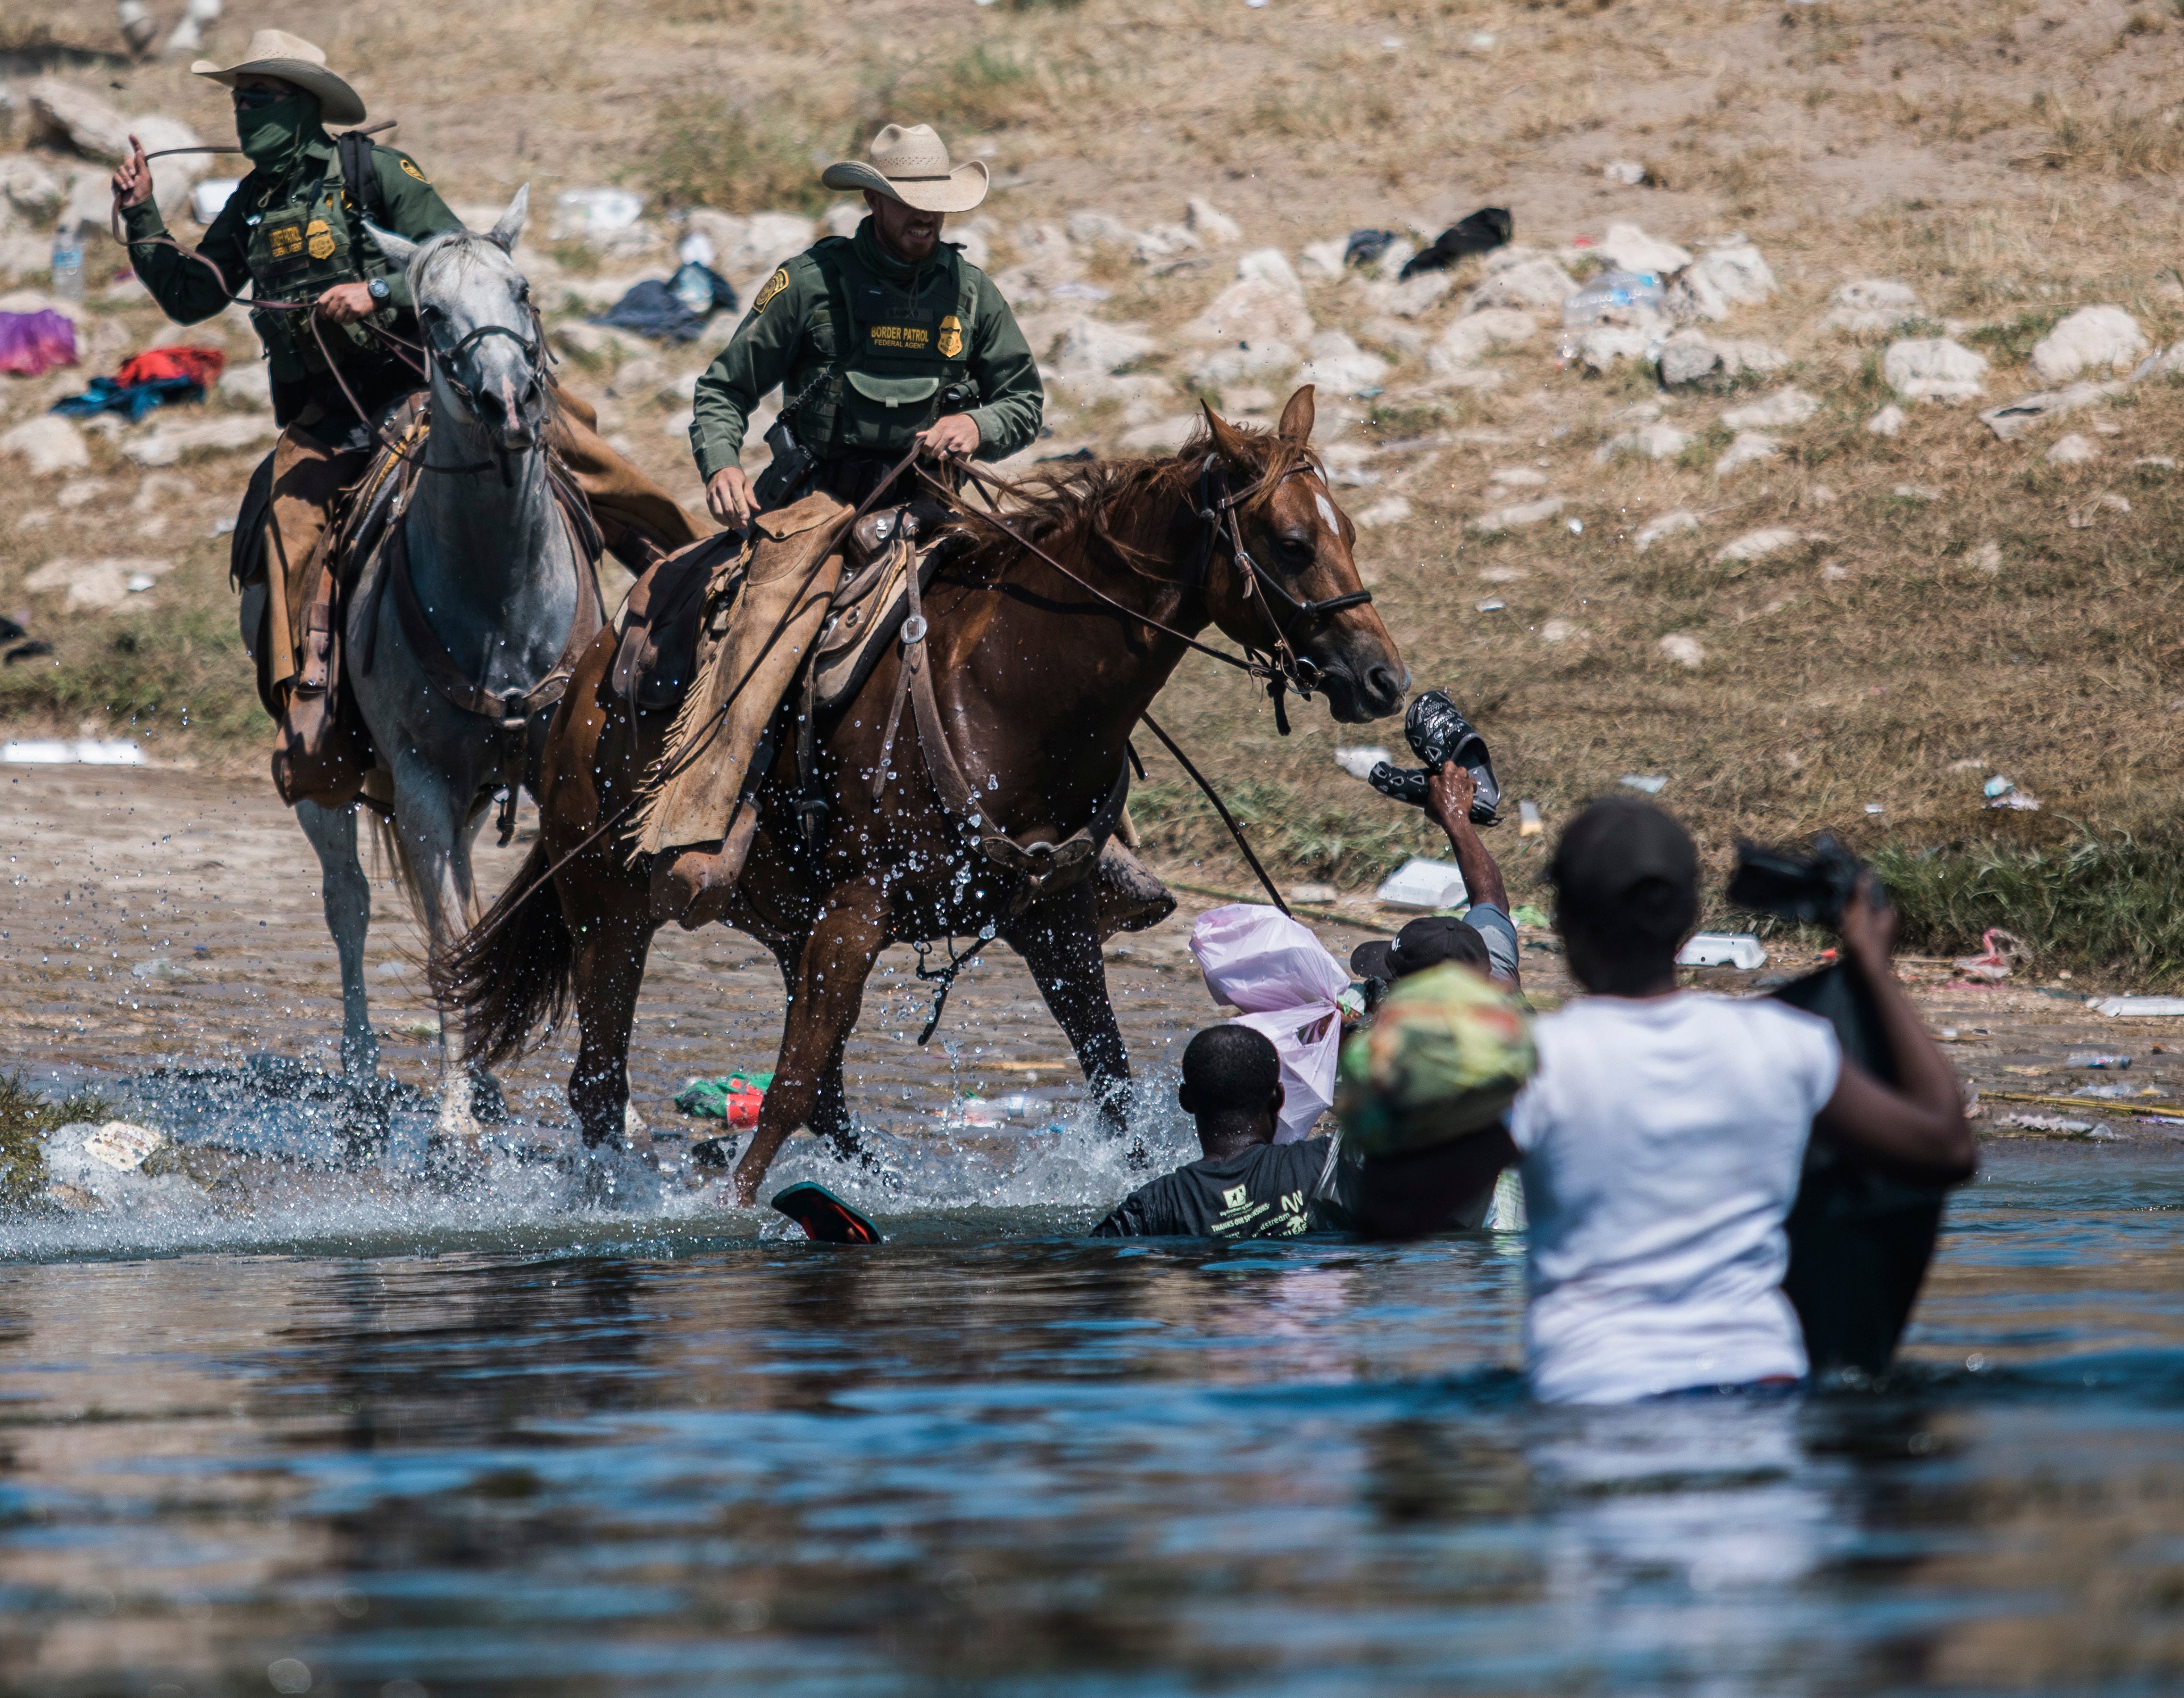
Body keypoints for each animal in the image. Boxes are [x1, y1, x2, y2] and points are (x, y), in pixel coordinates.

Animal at [292, 187, 593, 1150]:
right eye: (428, 313)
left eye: (521, 288)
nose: (508, 402)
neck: (500, 596)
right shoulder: (421, 784)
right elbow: (443, 942)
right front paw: (455, 1113)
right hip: (330, 779)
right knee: (349, 903)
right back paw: (368, 1076)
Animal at [435, 385, 1406, 1204]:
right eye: (1291, 544)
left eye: (1352, 534)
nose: (1383, 678)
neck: (1008, 691)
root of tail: (586, 679)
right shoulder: (857, 913)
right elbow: (788, 1089)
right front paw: (732, 1211)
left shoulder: (1051, 921)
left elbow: (1112, 1081)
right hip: (608, 905)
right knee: (602, 1082)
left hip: (782, 923)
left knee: (818, 1094)